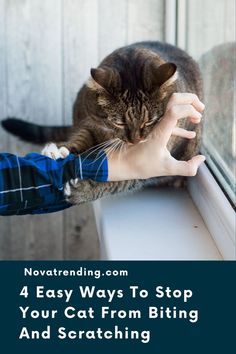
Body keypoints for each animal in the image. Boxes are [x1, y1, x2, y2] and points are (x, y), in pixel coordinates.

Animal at [0, 40, 203, 205]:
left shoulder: (153, 163)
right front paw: (58, 150)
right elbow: (81, 137)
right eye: (119, 123)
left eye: (150, 121)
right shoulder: (90, 122)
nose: (135, 141)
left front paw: (84, 189)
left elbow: (120, 181)